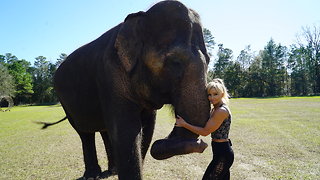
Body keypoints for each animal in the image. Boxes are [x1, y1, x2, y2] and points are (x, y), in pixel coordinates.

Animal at [51, 0, 210, 179]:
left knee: (105, 130)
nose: (202, 145)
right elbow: (128, 130)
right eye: (174, 62)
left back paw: (112, 171)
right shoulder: (110, 72)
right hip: (66, 103)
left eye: (209, 61)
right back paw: (92, 175)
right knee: (84, 133)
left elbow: (147, 129)